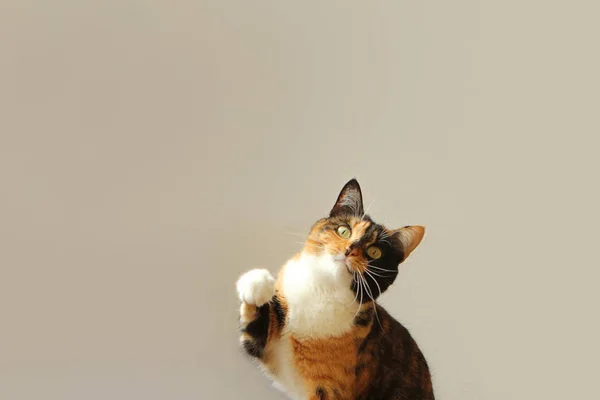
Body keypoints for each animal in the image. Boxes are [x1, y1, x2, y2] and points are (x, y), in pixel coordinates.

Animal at [236, 180, 436, 398]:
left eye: (374, 252)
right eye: (344, 231)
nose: (349, 250)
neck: (323, 290)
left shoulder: (330, 389)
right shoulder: (267, 347)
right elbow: (255, 333)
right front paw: (257, 283)